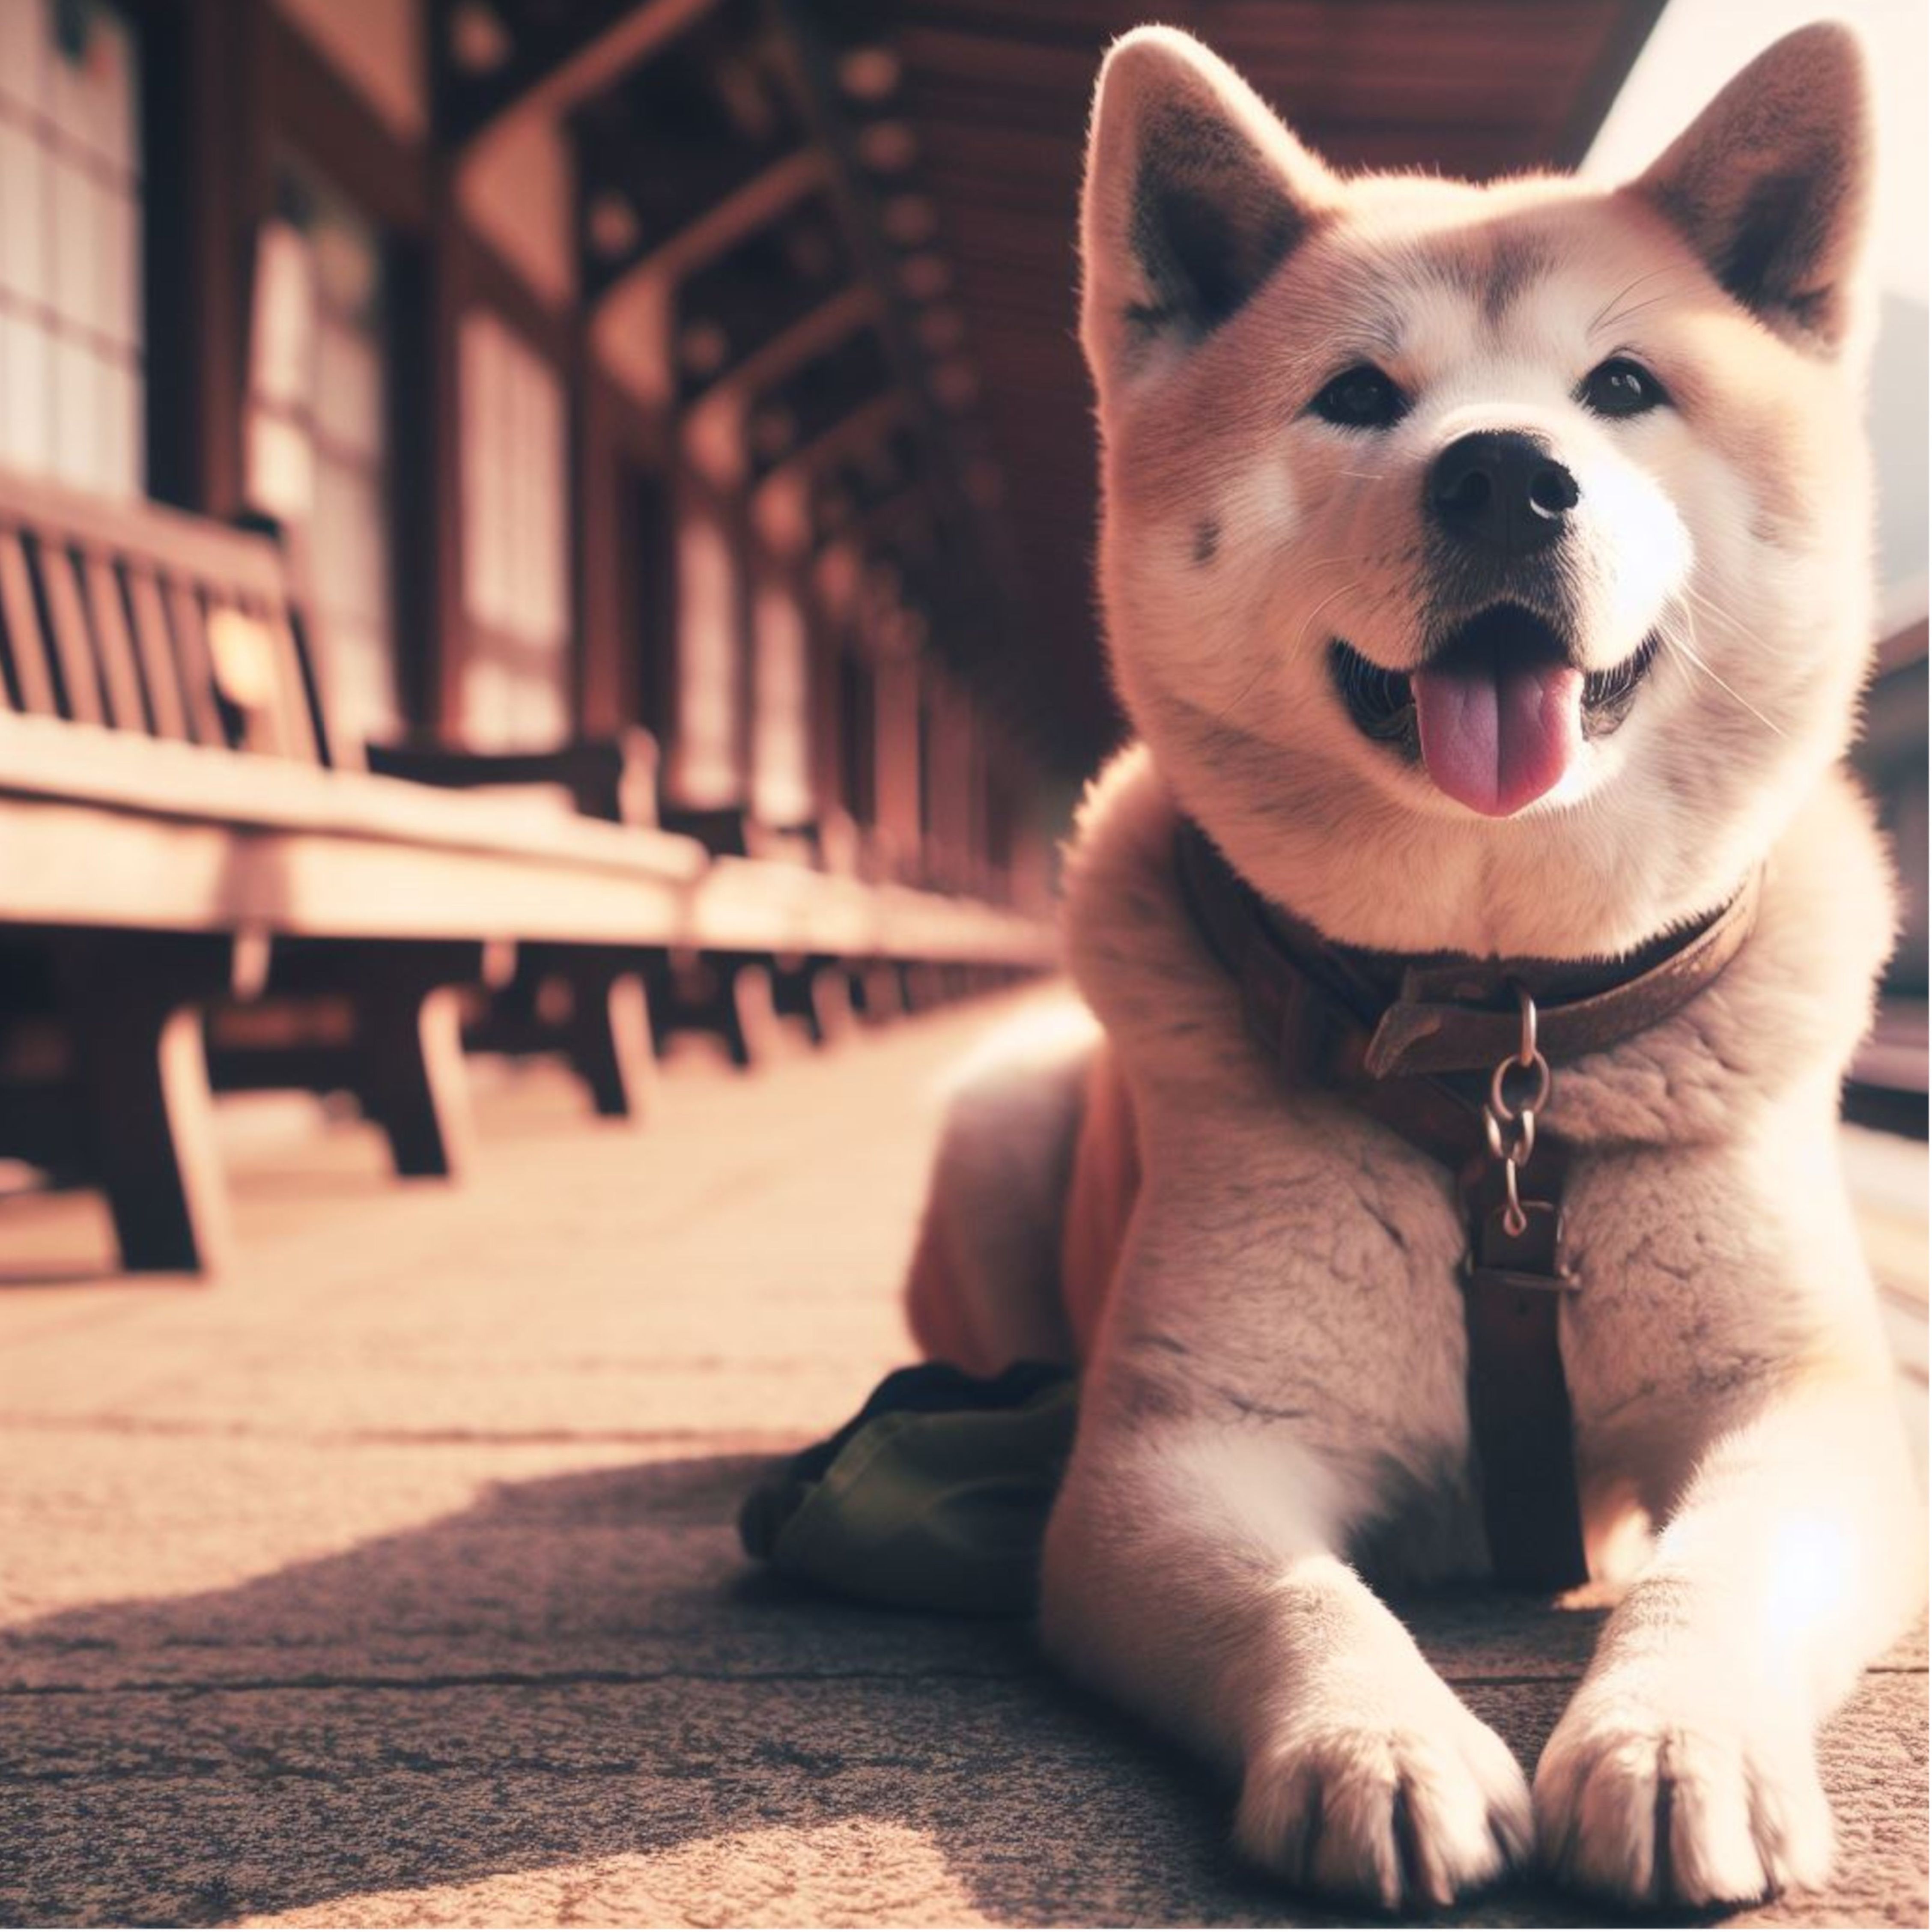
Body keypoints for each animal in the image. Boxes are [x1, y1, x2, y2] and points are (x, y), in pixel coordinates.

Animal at [908, 18, 1932, 1916]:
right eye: (1358, 397)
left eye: (1623, 387)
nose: (1505, 474)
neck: (1500, 1027)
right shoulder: (1180, 1450)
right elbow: (1291, 1595)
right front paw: (1376, 1748)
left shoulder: (1808, 1412)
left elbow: (1722, 1570)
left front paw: (1673, 1739)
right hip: (997, 1129)